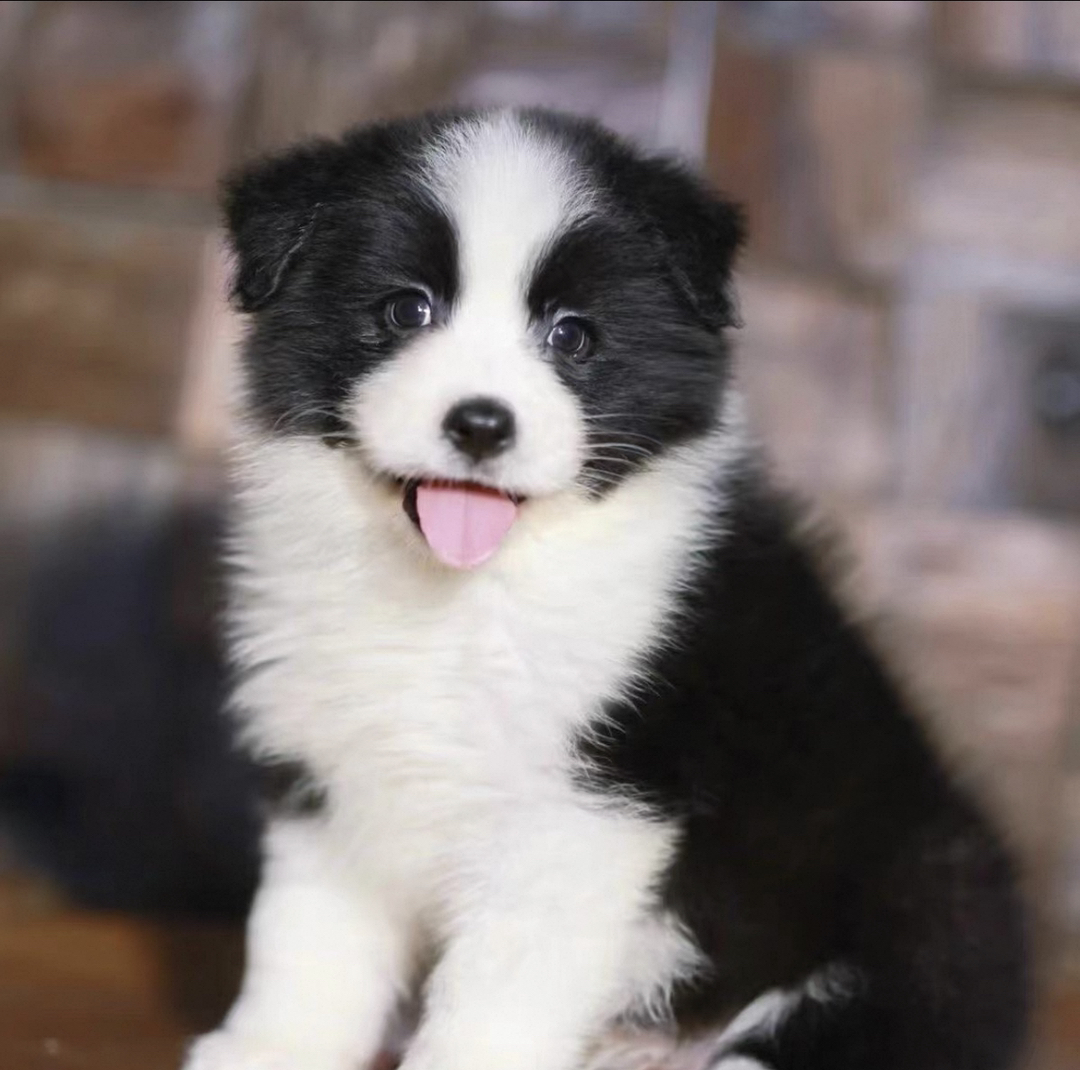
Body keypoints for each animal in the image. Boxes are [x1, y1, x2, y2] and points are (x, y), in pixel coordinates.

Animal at [184, 109, 1030, 1070]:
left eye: (572, 336)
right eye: (406, 309)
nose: (481, 424)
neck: (469, 594)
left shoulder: (584, 805)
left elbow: (502, 978)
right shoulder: (329, 764)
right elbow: (308, 934)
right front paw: (268, 1046)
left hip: (921, 891)